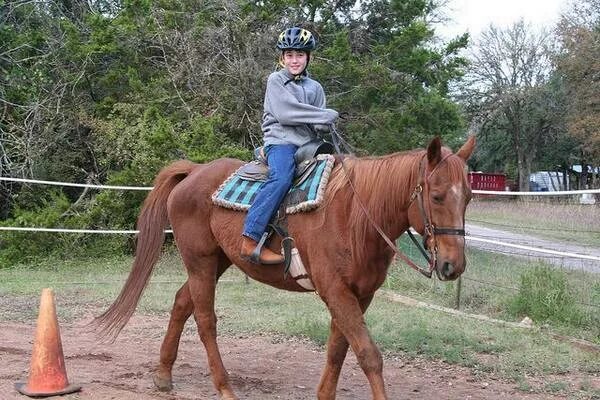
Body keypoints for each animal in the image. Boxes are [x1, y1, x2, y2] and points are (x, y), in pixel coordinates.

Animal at [96, 136, 476, 398]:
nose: (453, 265)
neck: (355, 216)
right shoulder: (336, 291)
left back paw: (163, 375)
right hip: (200, 261)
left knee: (180, 303)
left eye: (469, 197)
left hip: (216, 262)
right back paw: (224, 387)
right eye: (437, 196)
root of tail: (195, 171)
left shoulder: (359, 294)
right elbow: (368, 354)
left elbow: (338, 350)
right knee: (205, 321)